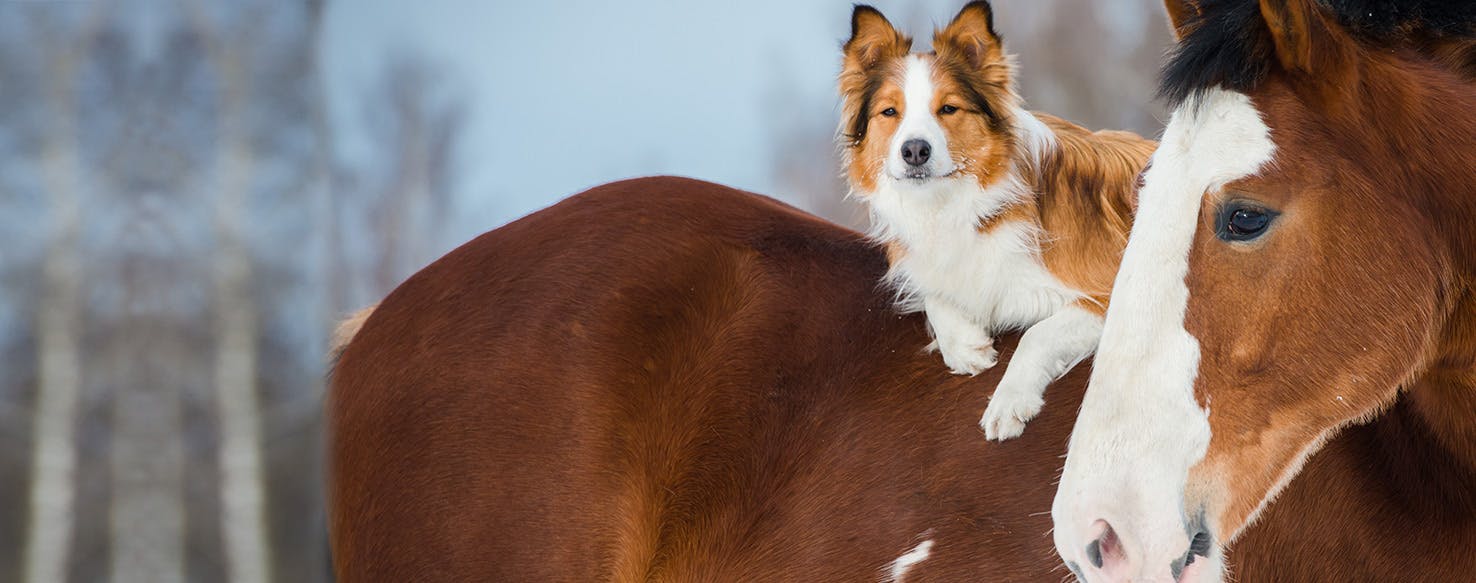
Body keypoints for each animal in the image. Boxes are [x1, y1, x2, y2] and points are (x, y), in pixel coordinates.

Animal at [844, 0, 1151, 436]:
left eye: (948, 108)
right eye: (890, 112)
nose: (915, 151)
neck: (958, 203)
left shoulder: (1107, 291)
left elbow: (1035, 334)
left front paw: (1009, 401)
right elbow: (936, 293)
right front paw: (963, 345)